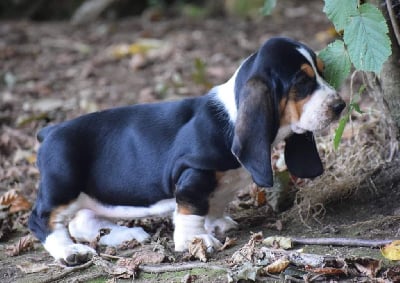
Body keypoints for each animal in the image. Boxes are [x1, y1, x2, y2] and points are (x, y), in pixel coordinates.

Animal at [28, 37, 346, 266]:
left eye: (322, 72)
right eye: (302, 82)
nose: (340, 105)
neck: (231, 115)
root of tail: (50, 131)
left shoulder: (220, 185)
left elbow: (215, 202)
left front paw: (217, 224)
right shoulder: (193, 173)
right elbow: (192, 208)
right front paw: (197, 241)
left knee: (84, 221)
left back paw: (126, 234)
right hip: (63, 186)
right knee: (43, 220)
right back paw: (70, 252)